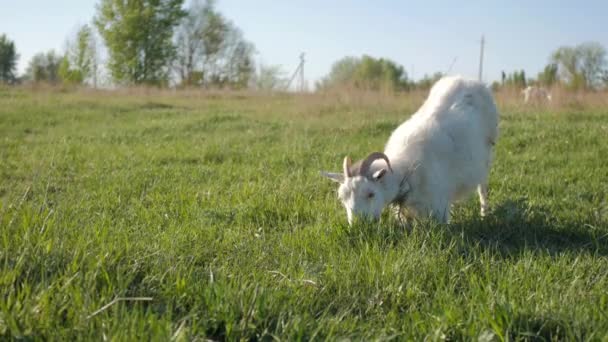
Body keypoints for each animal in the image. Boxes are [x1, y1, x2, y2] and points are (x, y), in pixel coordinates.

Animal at [324, 75, 498, 224]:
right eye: (342, 198)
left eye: (371, 194)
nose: (358, 225)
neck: (406, 170)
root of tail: (466, 79)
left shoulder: (438, 207)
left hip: (488, 153)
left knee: (482, 187)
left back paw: (484, 213)